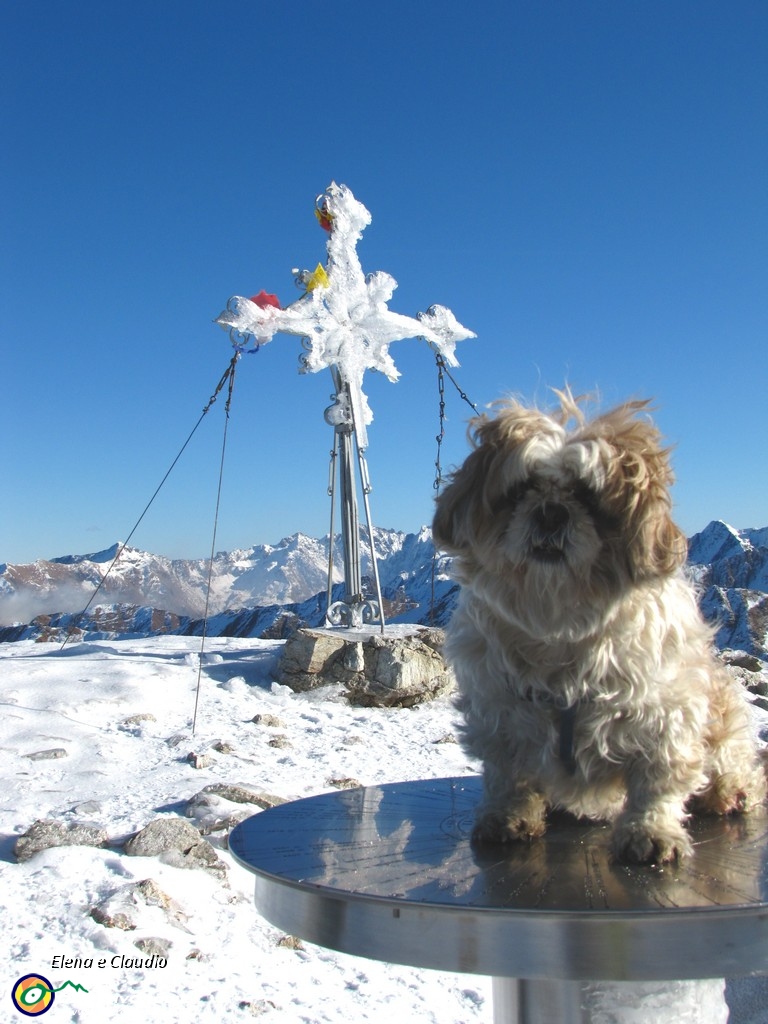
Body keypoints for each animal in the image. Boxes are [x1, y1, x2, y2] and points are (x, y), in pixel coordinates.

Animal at [436, 391, 765, 864]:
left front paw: (651, 830)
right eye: (522, 489)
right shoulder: (501, 713)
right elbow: (510, 775)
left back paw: (730, 792)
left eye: (587, 495)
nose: (551, 513)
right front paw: (507, 816)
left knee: (733, 764)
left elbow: (657, 781)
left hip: (722, 720)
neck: (559, 624)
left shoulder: (666, 713)